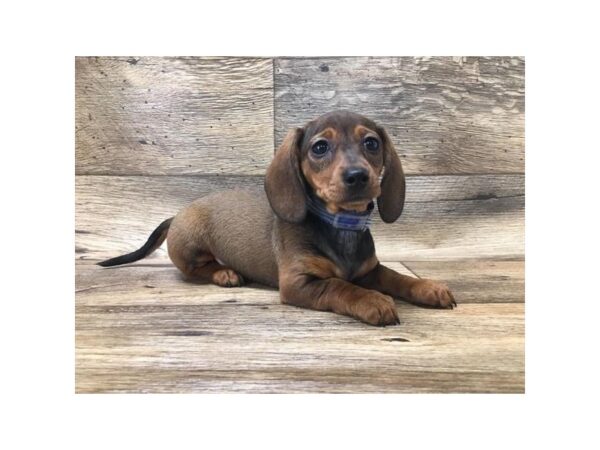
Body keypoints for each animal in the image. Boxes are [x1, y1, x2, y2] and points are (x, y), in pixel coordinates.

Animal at [99, 110, 454, 326]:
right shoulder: (299, 283)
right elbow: (340, 285)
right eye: (320, 147)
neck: (339, 226)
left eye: (371, 143)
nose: (357, 176)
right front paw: (373, 300)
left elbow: (397, 277)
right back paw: (224, 273)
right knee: (194, 268)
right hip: (190, 247)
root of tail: (178, 214)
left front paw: (428, 287)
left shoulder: (370, 270)